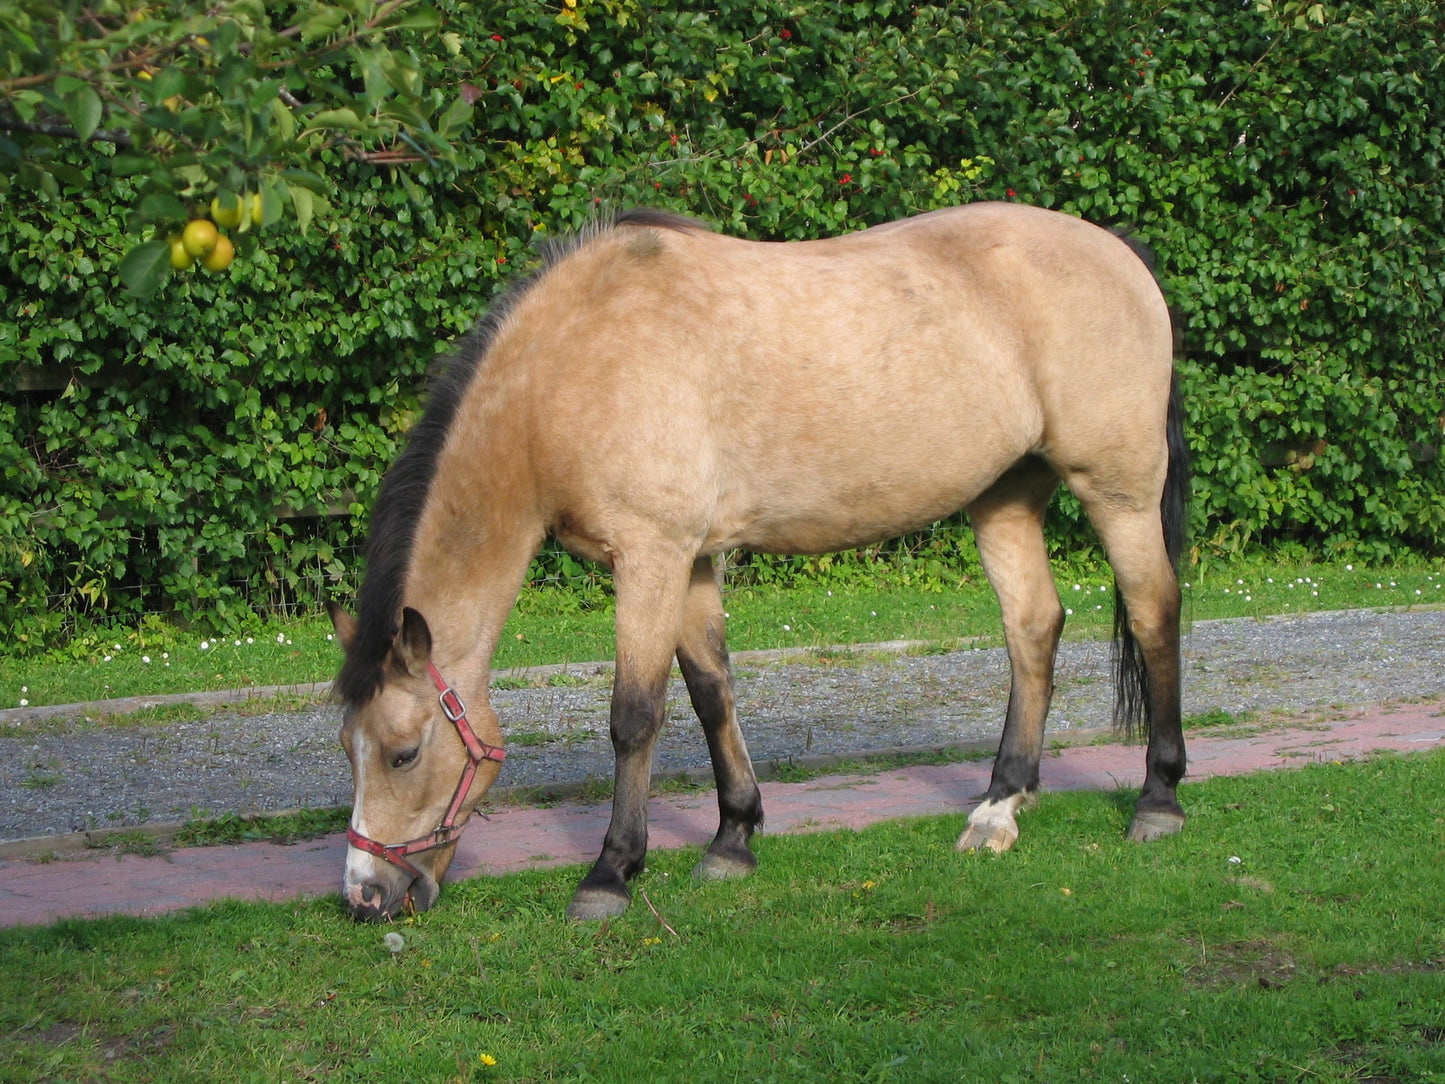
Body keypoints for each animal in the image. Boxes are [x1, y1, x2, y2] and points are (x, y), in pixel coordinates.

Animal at [328, 203, 1184, 925]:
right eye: (347, 751)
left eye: (404, 753)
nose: (365, 897)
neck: (569, 369)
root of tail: (1118, 253)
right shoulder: (691, 560)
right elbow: (712, 692)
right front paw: (732, 839)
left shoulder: (650, 554)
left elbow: (634, 714)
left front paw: (610, 872)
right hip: (1004, 496)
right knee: (1031, 628)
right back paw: (999, 808)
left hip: (1118, 491)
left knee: (1152, 612)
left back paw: (1157, 801)